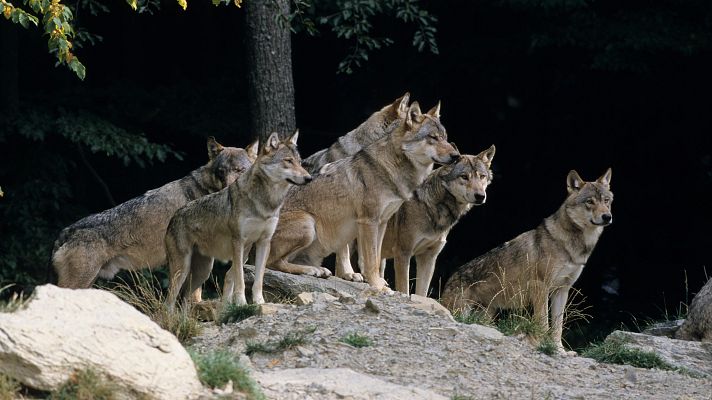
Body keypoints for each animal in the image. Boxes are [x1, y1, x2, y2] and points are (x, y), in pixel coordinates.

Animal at [164, 131, 311, 307]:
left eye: (300, 162)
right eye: (288, 161)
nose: (309, 178)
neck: (266, 202)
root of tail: (174, 216)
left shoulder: (264, 242)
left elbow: (258, 279)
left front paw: (259, 302)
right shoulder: (238, 242)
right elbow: (240, 278)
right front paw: (241, 303)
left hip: (203, 272)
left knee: (185, 300)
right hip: (182, 271)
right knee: (169, 302)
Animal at [266, 102, 460, 289]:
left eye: (445, 137)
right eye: (433, 137)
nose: (456, 155)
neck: (391, 168)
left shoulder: (382, 222)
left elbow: (377, 258)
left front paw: (378, 282)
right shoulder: (368, 221)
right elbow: (370, 260)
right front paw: (376, 285)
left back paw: (318, 270)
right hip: (308, 225)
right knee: (271, 263)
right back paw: (312, 270)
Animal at [379, 145, 495, 296]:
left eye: (482, 176)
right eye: (464, 177)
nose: (480, 196)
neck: (431, 207)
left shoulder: (428, 258)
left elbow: (421, 293)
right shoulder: (403, 253)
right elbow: (404, 289)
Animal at [441, 168, 613, 353]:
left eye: (606, 200)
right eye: (590, 201)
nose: (607, 216)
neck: (572, 245)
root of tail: (451, 278)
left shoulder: (562, 290)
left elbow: (558, 326)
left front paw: (558, 349)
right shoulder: (540, 287)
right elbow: (543, 322)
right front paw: (541, 344)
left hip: (487, 314)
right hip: (462, 310)